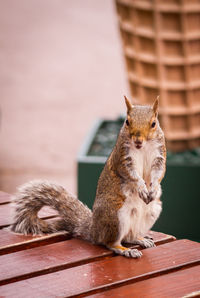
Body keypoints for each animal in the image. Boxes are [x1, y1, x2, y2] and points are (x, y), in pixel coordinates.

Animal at [11, 96, 167, 258]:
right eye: (127, 121)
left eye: (154, 123)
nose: (137, 140)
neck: (143, 148)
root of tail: (94, 230)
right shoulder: (123, 159)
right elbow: (131, 175)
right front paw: (141, 187)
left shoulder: (159, 157)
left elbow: (159, 172)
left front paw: (154, 188)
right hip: (115, 216)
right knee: (110, 242)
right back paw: (124, 249)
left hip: (152, 212)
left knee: (129, 236)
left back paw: (140, 239)